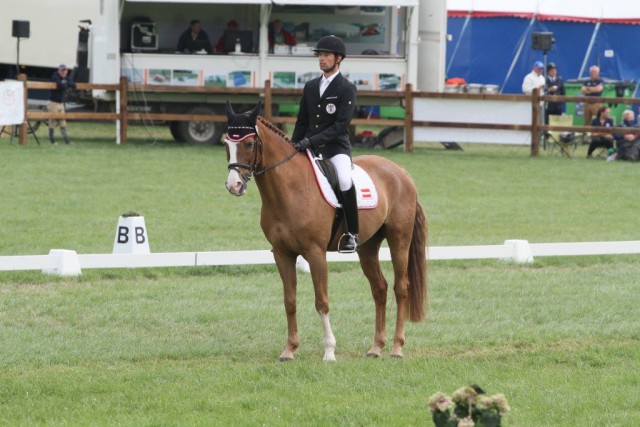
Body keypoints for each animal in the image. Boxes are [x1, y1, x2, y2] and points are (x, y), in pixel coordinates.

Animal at [225, 103, 430, 362]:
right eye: (226, 143)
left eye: (249, 144)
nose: (234, 186)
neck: (289, 189)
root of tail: (401, 171)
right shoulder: (282, 254)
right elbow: (289, 301)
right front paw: (289, 350)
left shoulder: (315, 253)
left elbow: (321, 301)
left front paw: (330, 351)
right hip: (368, 247)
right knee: (380, 289)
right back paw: (376, 347)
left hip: (399, 240)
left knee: (401, 288)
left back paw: (396, 348)